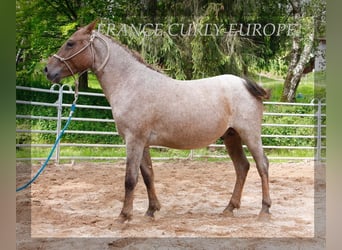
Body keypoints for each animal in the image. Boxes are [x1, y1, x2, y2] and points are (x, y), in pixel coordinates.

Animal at [44, 20, 272, 222]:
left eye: (70, 43)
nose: (47, 69)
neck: (131, 82)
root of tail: (245, 83)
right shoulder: (142, 142)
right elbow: (147, 175)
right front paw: (151, 210)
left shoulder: (134, 140)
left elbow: (130, 179)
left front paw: (124, 216)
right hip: (231, 136)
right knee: (242, 167)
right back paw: (229, 208)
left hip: (249, 134)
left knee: (262, 165)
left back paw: (264, 210)